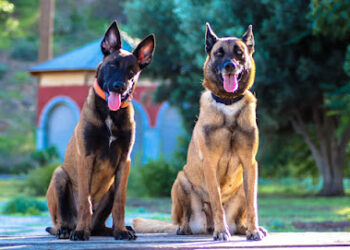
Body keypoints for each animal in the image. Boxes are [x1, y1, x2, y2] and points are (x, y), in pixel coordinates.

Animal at [45, 21, 154, 240]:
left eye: (132, 72)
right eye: (113, 65)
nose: (119, 86)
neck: (110, 115)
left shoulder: (124, 161)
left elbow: (120, 202)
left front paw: (121, 230)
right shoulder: (86, 157)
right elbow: (84, 201)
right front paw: (80, 232)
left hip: (109, 188)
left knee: (99, 226)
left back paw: (116, 229)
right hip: (59, 175)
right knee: (62, 219)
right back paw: (68, 229)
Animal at [133, 23, 266, 240]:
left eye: (239, 53)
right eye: (219, 53)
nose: (230, 66)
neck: (228, 104)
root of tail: (206, 226)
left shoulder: (249, 164)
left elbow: (252, 204)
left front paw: (253, 230)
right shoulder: (210, 163)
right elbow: (217, 201)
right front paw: (221, 232)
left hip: (240, 189)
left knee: (240, 216)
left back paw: (245, 228)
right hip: (180, 181)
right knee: (183, 220)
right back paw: (187, 229)